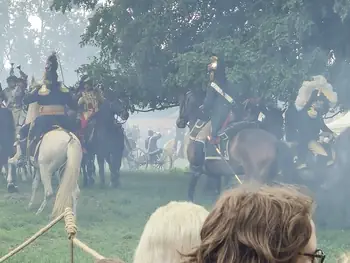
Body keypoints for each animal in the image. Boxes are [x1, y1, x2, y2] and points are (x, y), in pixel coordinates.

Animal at [8, 79, 82, 219]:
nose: (15, 102)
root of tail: (70, 139)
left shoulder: (20, 158)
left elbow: (11, 162)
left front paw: (11, 183)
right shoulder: (36, 168)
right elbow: (34, 185)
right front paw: (30, 205)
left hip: (47, 169)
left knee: (49, 192)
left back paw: (42, 213)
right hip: (66, 170)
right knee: (75, 192)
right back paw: (73, 216)